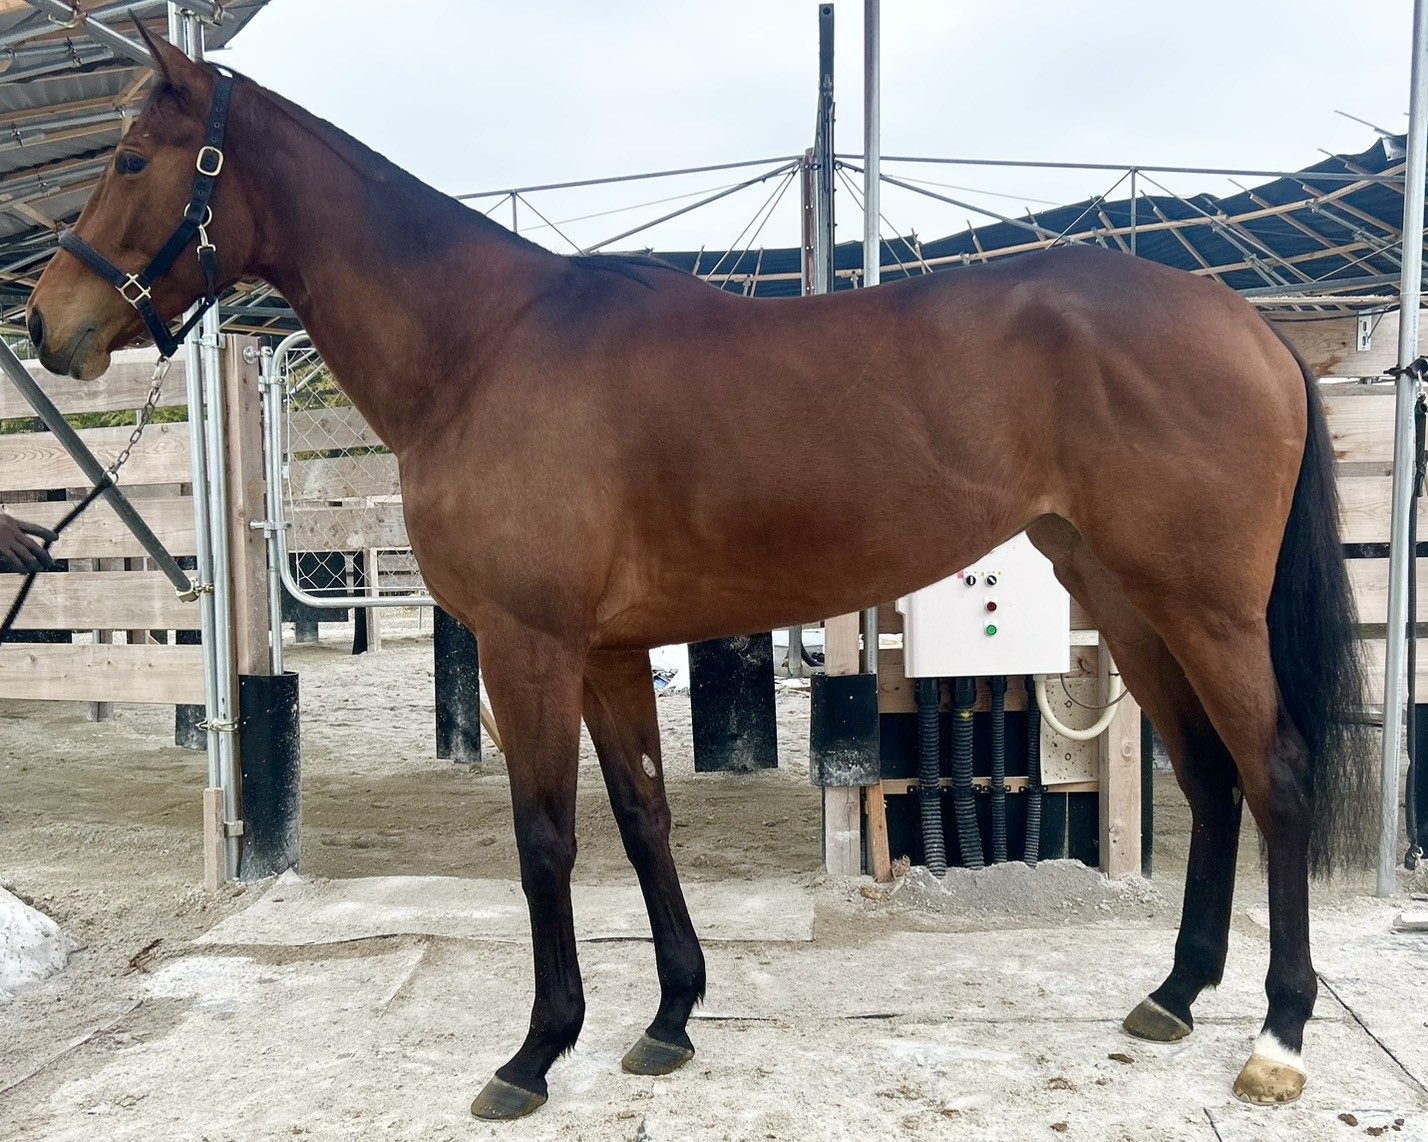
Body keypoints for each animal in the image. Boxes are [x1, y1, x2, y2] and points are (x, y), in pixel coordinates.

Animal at [27, 28, 1375, 1120]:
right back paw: (1175, 992)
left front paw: (535, 1051)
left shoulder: (530, 646)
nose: (48, 324)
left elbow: (547, 837)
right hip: (1124, 595)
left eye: (134, 161)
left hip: (1204, 607)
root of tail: (1247, 324)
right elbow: (643, 817)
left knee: (1275, 769)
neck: (485, 348)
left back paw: (1277, 1033)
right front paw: (670, 1014)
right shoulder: (610, 651)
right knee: (1209, 774)